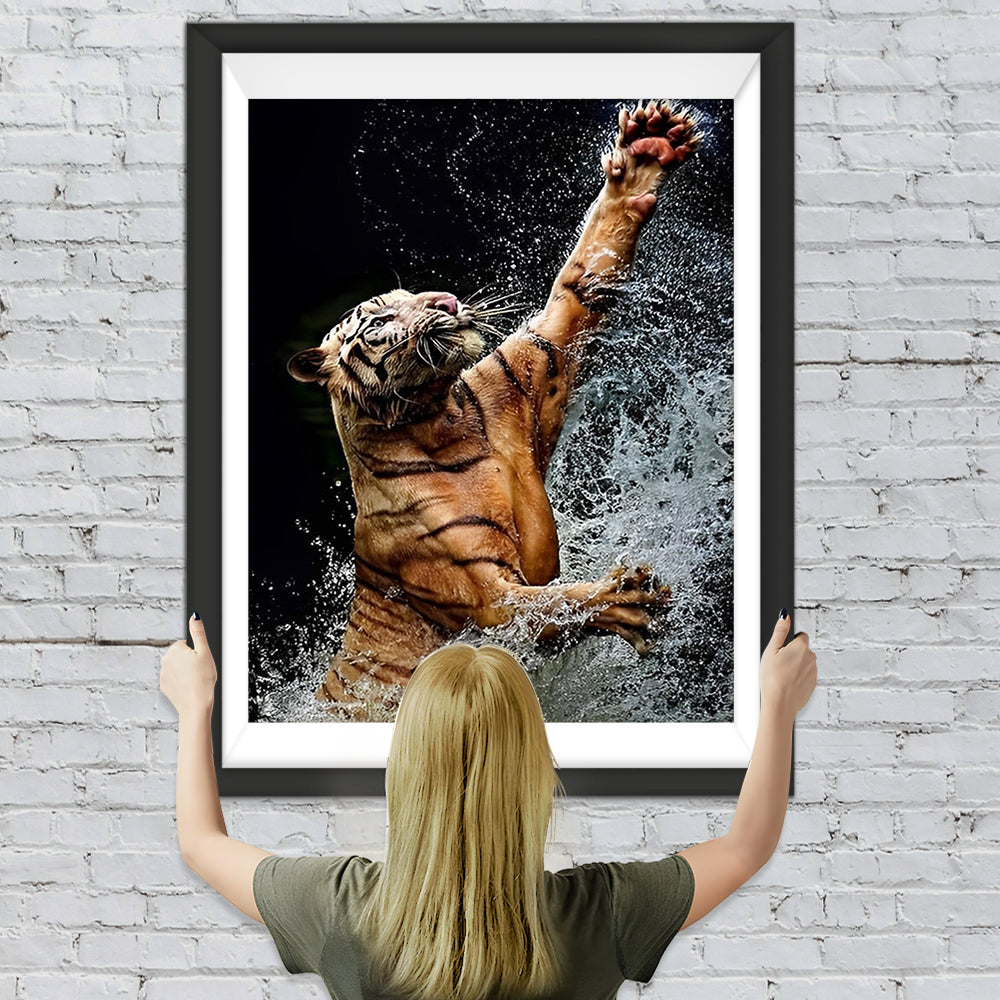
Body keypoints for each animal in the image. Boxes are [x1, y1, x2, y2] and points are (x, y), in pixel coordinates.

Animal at [287, 100, 702, 718]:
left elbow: (580, 280)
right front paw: (624, 598)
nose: (446, 300)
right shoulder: (485, 595)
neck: (440, 417)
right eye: (382, 317)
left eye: (412, 297)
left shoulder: (533, 364)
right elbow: (550, 605)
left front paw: (645, 153)